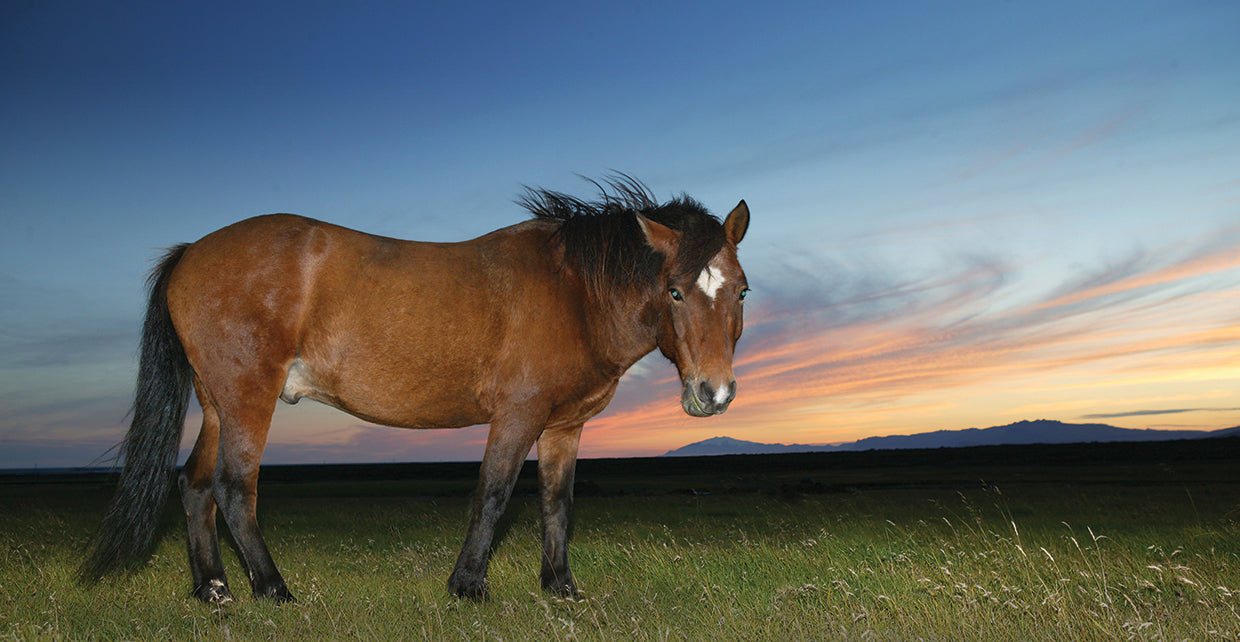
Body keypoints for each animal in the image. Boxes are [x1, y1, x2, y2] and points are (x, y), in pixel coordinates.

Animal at [80, 176, 750, 602]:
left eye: (740, 291)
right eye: (674, 291)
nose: (713, 394)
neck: (574, 291)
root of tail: (191, 251)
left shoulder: (564, 425)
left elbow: (556, 503)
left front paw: (561, 587)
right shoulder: (518, 415)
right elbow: (493, 494)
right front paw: (469, 585)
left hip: (217, 403)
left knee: (195, 487)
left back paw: (213, 590)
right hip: (247, 399)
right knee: (232, 488)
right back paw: (271, 588)